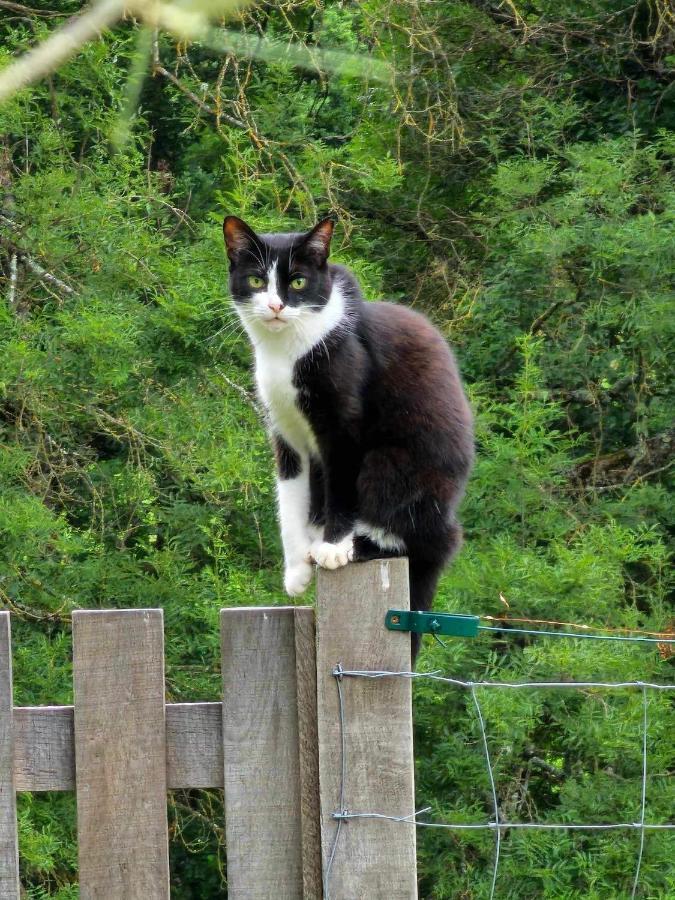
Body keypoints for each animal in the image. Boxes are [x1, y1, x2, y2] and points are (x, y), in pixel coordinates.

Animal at [224, 214, 472, 656]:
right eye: (255, 280)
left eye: (299, 282)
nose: (276, 306)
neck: (286, 351)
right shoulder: (285, 433)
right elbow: (289, 498)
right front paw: (296, 569)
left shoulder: (343, 426)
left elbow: (341, 482)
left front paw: (333, 548)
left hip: (392, 462)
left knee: (418, 533)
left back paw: (360, 546)